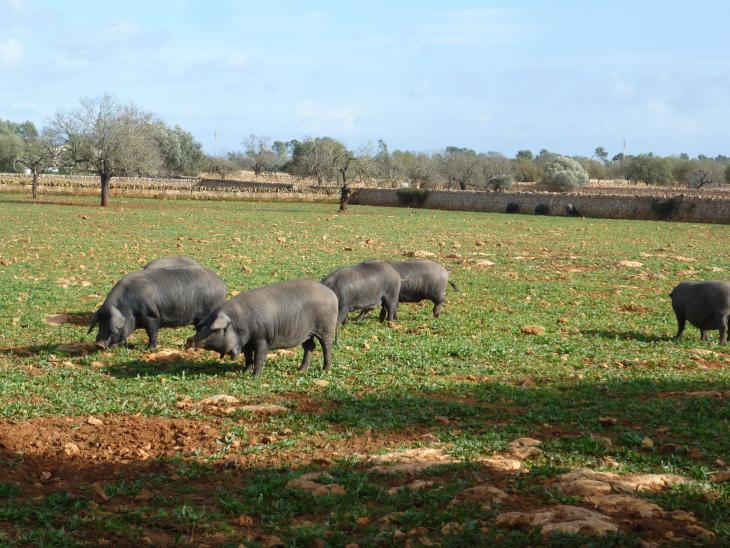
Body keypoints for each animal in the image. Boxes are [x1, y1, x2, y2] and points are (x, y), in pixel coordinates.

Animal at [89, 268, 225, 348]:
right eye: (100, 324)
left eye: (112, 325)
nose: (99, 344)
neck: (129, 308)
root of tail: (222, 284)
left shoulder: (152, 316)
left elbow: (152, 333)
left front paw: (149, 349)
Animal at [188, 282, 336, 376]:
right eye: (201, 326)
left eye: (215, 329)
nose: (189, 339)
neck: (239, 325)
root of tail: (332, 294)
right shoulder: (247, 343)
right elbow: (248, 357)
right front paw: (244, 372)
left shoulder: (262, 339)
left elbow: (259, 357)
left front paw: (255, 377)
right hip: (306, 333)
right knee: (310, 346)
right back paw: (301, 370)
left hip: (326, 327)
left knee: (326, 347)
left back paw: (326, 369)